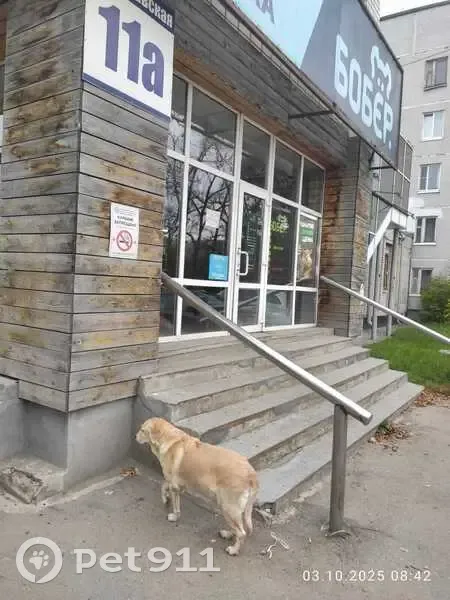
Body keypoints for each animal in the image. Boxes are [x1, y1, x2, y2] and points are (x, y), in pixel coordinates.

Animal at [136, 417, 259, 555]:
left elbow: (175, 506)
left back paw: (233, 549)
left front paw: (174, 516)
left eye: (142, 430)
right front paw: (165, 499)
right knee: (239, 528)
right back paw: (227, 534)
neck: (168, 438)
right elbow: (163, 485)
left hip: (228, 507)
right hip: (232, 509)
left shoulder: (174, 486)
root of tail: (251, 473)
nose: (135, 437)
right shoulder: (176, 483)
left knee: (242, 533)